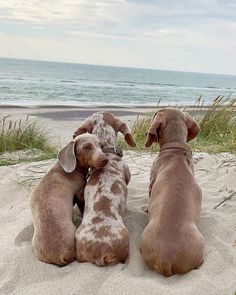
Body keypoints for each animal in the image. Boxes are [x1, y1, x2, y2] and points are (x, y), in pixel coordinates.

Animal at [30, 133, 107, 268]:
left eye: (101, 145)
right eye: (86, 147)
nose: (105, 159)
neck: (70, 169)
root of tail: (59, 257)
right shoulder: (80, 193)